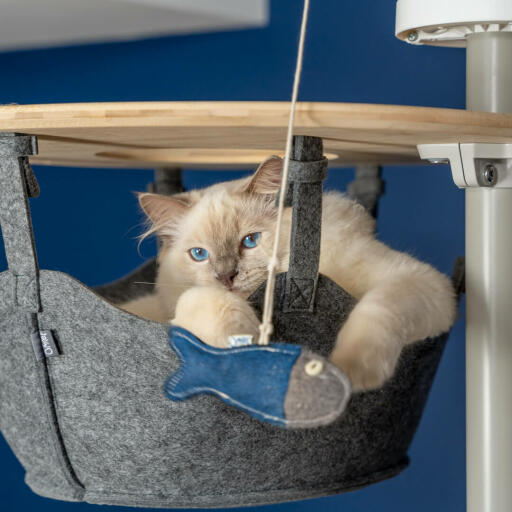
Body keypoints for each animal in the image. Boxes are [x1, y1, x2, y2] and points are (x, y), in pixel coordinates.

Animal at [122, 157, 458, 392]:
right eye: (199, 255)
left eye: (250, 241)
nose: (226, 277)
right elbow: (203, 302)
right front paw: (241, 343)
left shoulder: (418, 280)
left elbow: (375, 313)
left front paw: (351, 371)